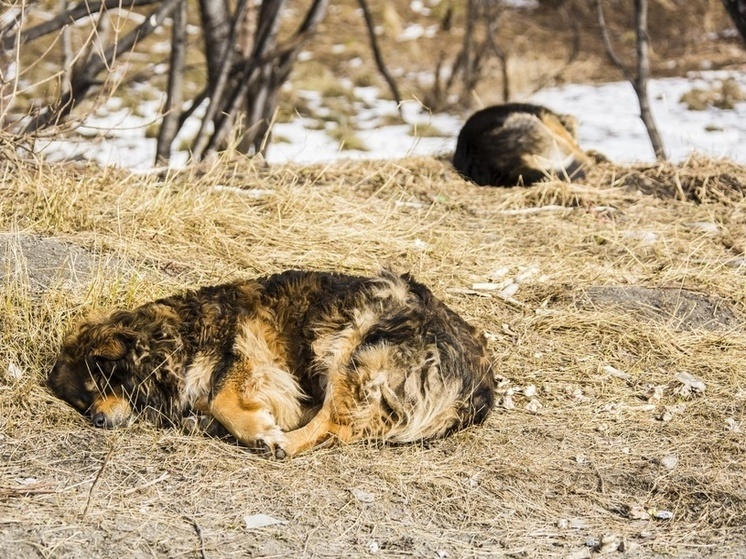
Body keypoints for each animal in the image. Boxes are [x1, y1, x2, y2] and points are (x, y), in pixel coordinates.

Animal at [50, 272, 494, 460]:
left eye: (100, 382)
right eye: (82, 403)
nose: (95, 420)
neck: (183, 334)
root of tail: (481, 386)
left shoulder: (250, 355)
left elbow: (223, 399)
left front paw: (262, 431)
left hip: (356, 343)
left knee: (335, 422)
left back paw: (283, 443)